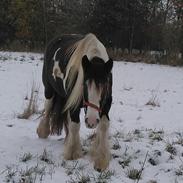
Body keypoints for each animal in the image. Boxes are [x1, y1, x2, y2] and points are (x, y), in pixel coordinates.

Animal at [37, 33, 113, 172]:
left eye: (105, 85)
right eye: (84, 84)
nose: (91, 121)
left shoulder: (106, 104)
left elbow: (104, 126)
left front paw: (101, 160)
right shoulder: (74, 104)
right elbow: (75, 125)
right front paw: (73, 154)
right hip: (49, 91)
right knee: (48, 109)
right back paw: (43, 132)